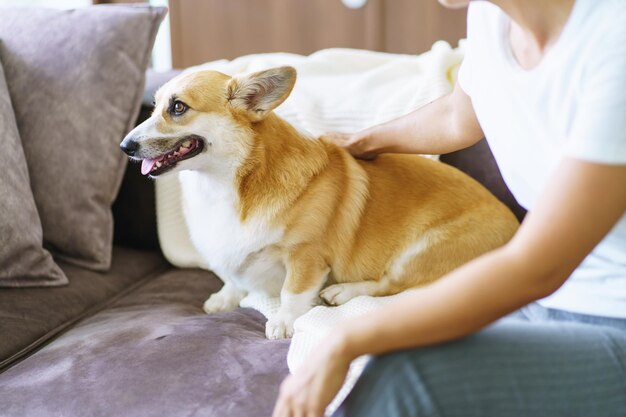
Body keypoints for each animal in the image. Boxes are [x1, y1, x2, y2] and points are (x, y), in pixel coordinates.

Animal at [120, 65, 516, 338]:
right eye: (153, 107)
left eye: (178, 107)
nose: (125, 146)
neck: (229, 184)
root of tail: (516, 225)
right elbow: (233, 279)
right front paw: (224, 298)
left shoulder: (306, 255)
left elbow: (292, 292)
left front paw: (283, 322)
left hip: (420, 252)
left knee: (390, 285)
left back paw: (342, 292)